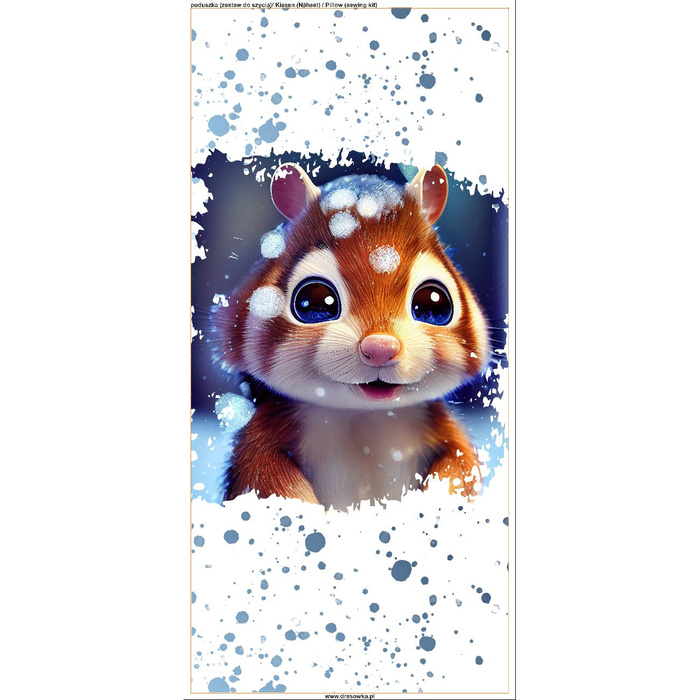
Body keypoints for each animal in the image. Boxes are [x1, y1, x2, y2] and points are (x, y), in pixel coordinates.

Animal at [211, 163, 489, 509]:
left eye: (434, 304)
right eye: (314, 302)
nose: (381, 348)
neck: (362, 416)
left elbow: (459, 468)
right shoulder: (262, 443)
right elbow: (267, 478)